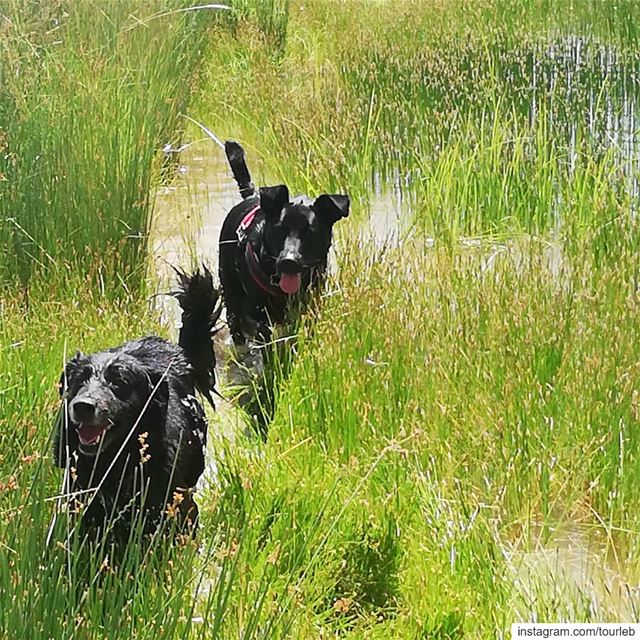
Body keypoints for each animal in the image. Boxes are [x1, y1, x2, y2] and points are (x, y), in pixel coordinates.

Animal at [220, 141, 350, 344]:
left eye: (310, 232)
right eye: (279, 229)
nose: (289, 261)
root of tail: (251, 195)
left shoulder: (312, 305)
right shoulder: (249, 314)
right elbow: (260, 328)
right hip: (230, 289)